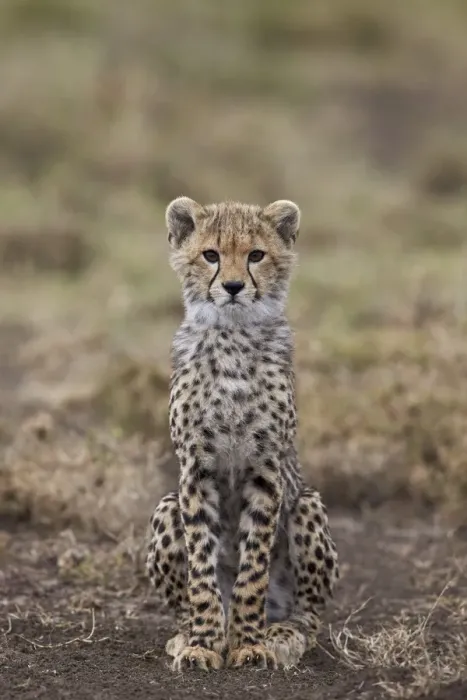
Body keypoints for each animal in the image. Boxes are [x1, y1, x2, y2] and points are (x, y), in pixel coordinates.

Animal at [146, 196, 339, 672]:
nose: (233, 286)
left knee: (309, 612)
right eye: (211, 255)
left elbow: (252, 569)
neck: (232, 336)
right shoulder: (194, 471)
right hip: (166, 505)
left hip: (306, 504)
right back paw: (187, 632)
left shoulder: (266, 470)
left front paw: (249, 644)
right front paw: (203, 642)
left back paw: (282, 633)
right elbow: (201, 567)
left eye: (256, 255)